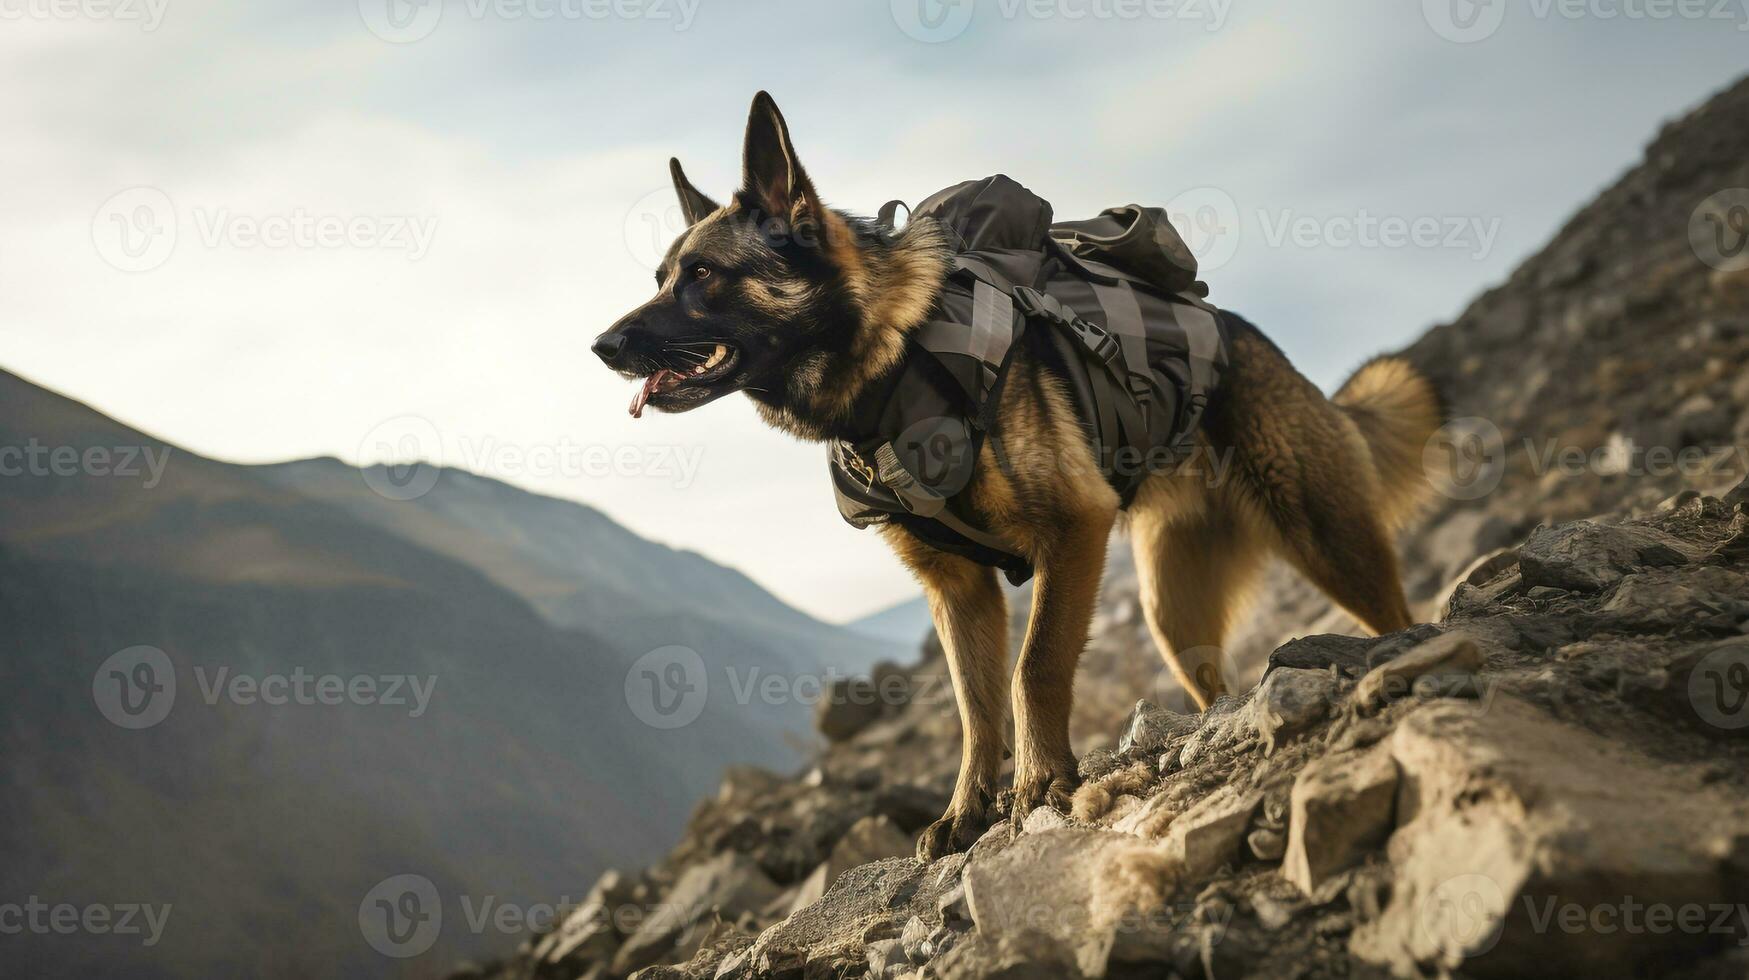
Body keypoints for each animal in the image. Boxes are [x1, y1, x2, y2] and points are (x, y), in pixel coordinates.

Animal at [594, 91, 1441, 857]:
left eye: (703, 274)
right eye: (662, 275)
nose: (601, 346)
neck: (888, 367)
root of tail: (1250, 339)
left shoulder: (1072, 533)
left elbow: (1032, 670)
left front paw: (1039, 782)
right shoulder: (956, 589)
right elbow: (974, 706)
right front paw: (965, 810)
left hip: (1327, 538)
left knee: (1395, 611)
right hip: (1172, 610)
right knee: (1210, 676)